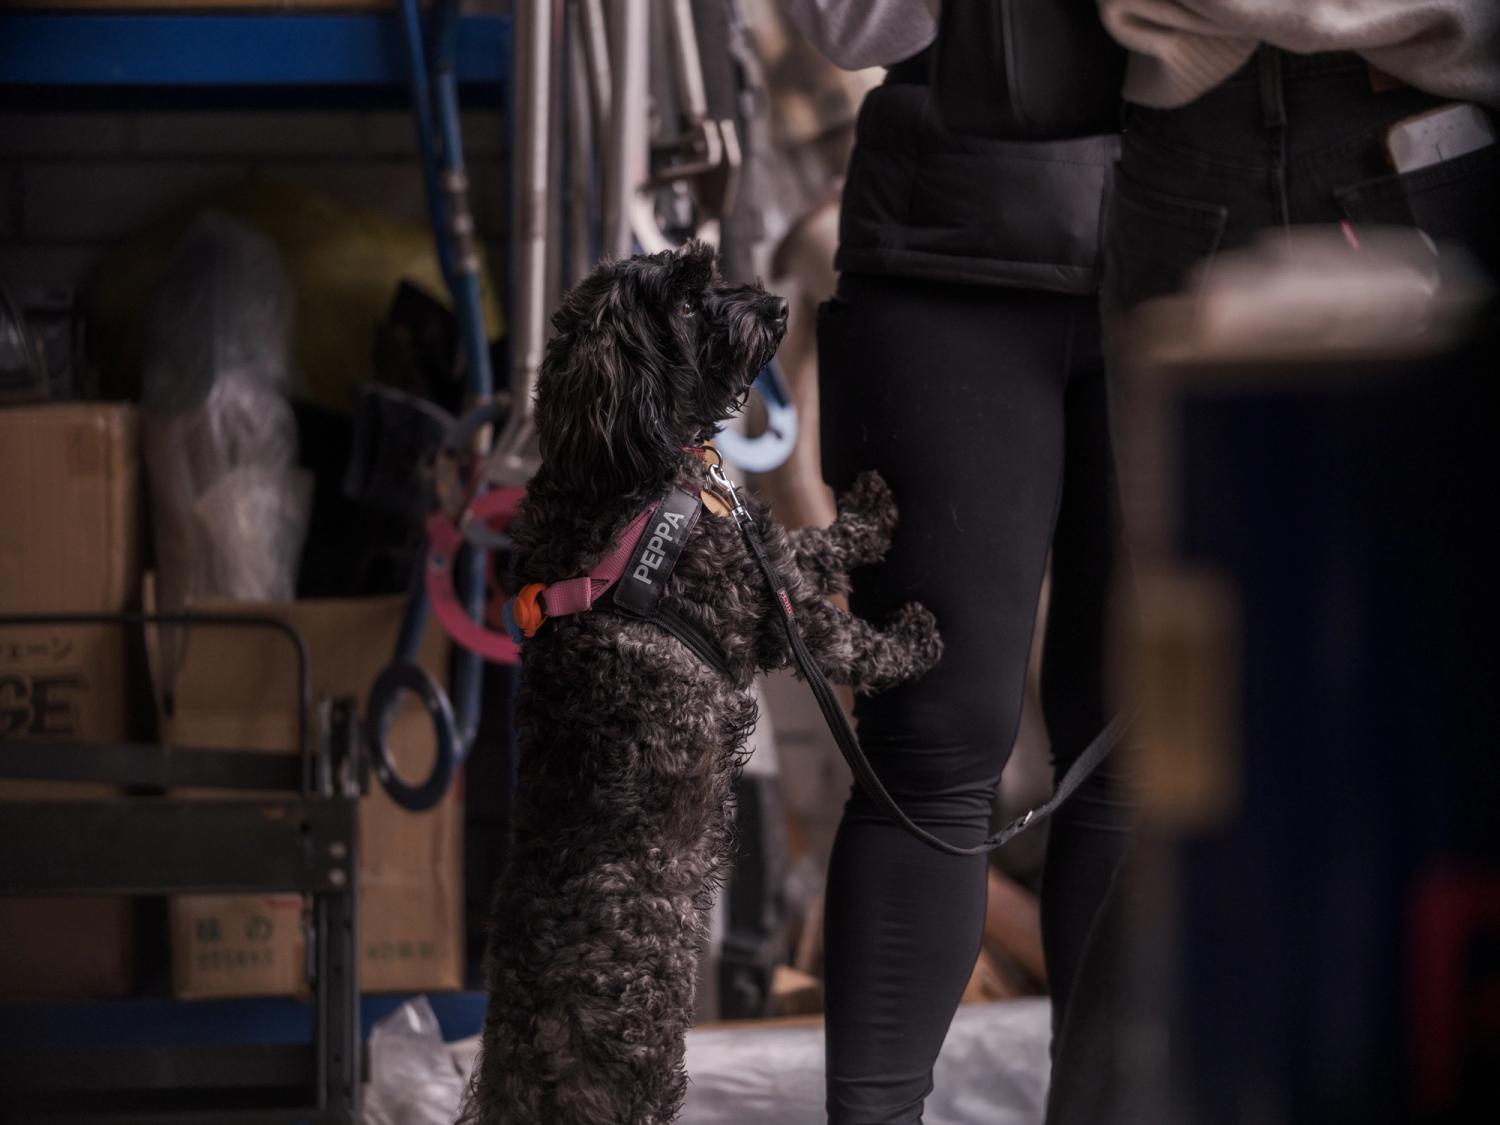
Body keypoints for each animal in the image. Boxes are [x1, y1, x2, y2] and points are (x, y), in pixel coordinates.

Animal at [459, 241, 942, 1125]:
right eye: (684, 305)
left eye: (709, 272)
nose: (779, 309)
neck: (619, 481)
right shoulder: (768, 610)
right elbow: (848, 638)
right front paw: (916, 639)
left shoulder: (761, 548)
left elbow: (815, 541)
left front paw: (870, 510)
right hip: (643, 1055)